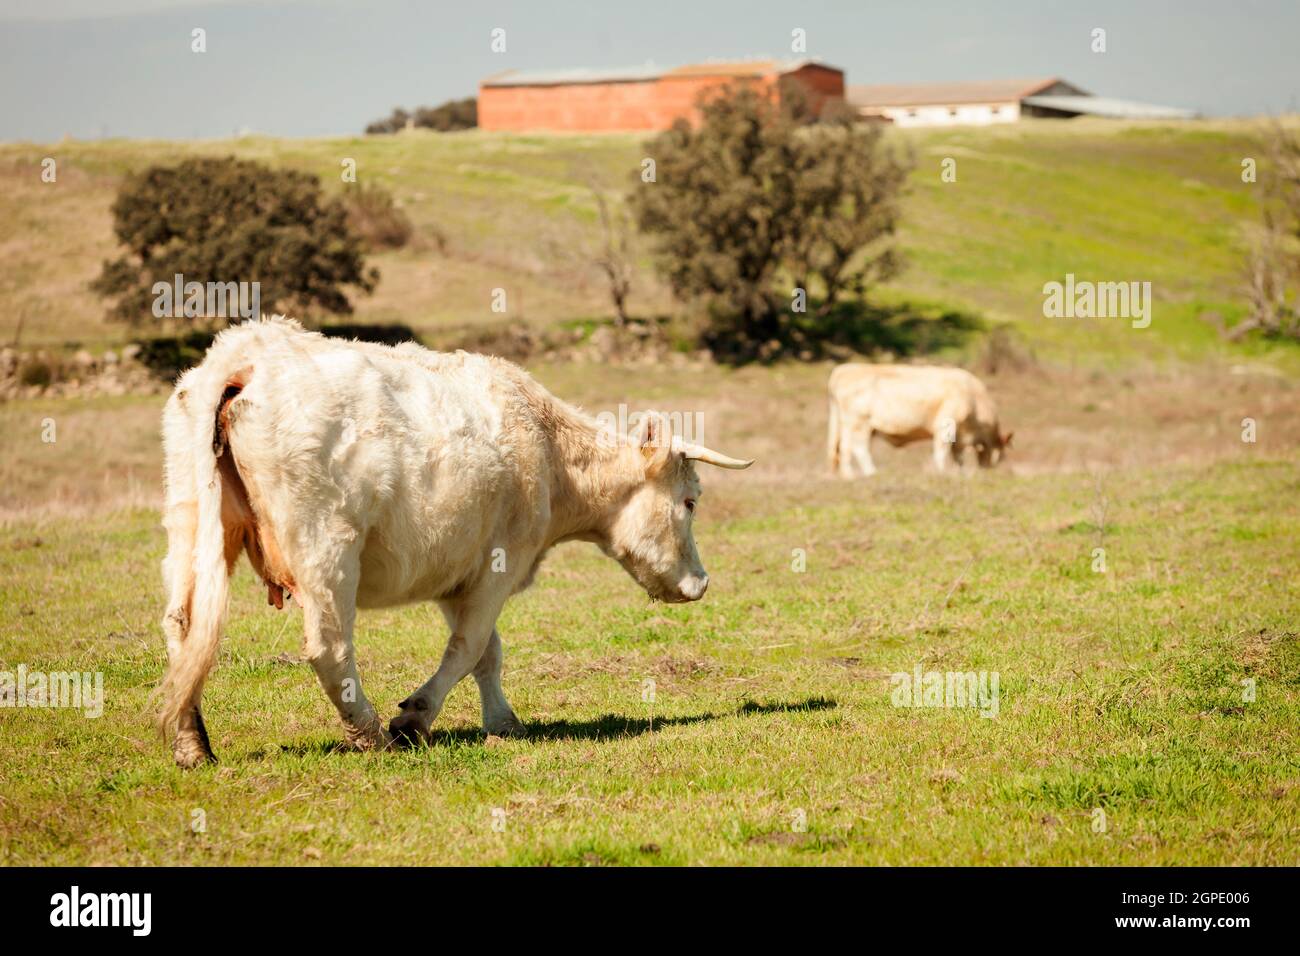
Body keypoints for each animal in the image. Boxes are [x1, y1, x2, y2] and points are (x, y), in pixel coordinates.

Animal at [159, 317, 754, 764]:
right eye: (691, 501)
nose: (700, 583)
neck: (547, 450)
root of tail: (246, 354)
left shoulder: (459, 573)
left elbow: (488, 653)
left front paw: (503, 722)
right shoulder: (499, 566)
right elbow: (469, 648)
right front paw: (414, 718)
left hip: (189, 525)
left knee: (183, 626)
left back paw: (192, 746)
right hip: (327, 549)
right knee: (329, 647)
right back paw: (371, 734)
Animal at [821, 361, 1013, 478]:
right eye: (1001, 456)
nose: (988, 472)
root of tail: (842, 370)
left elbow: (957, 456)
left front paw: (960, 473)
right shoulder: (945, 424)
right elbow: (941, 452)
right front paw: (941, 472)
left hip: (846, 423)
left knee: (843, 448)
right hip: (859, 423)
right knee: (857, 448)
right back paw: (870, 473)